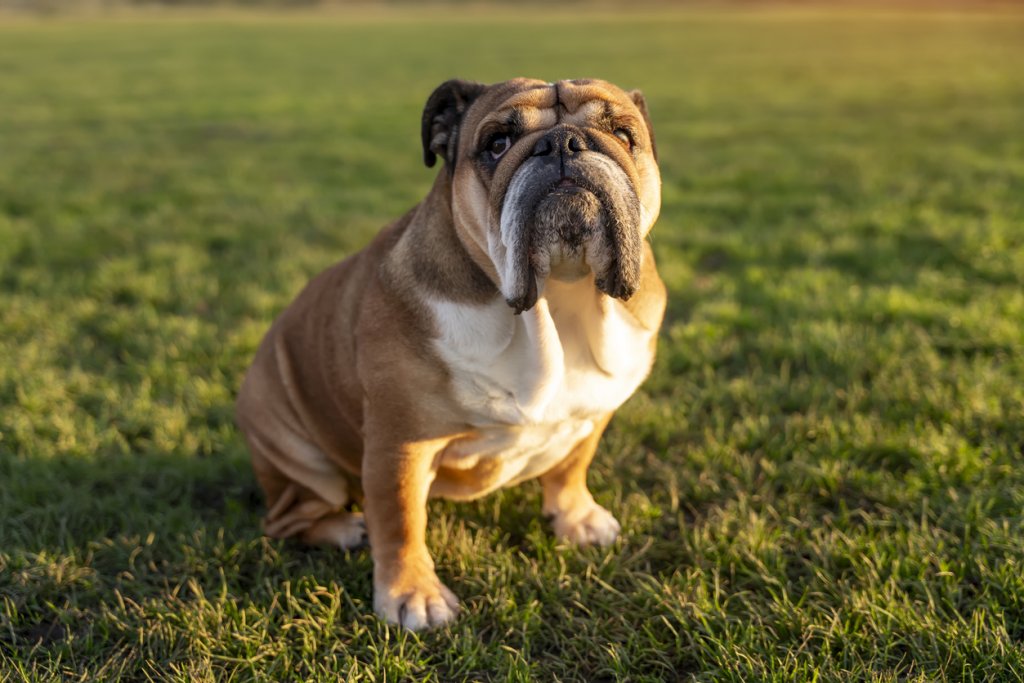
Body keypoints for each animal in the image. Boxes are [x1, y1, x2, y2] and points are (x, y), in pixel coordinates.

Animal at [234, 78, 663, 630]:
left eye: (623, 135)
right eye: (497, 143)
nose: (563, 144)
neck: (553, 304)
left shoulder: (596, 412)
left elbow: (572, 465)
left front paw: (576, 518)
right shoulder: (401, 442)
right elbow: (400, 519)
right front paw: (412, 595)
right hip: (297, 453)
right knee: (287, 517)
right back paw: (346, 529)